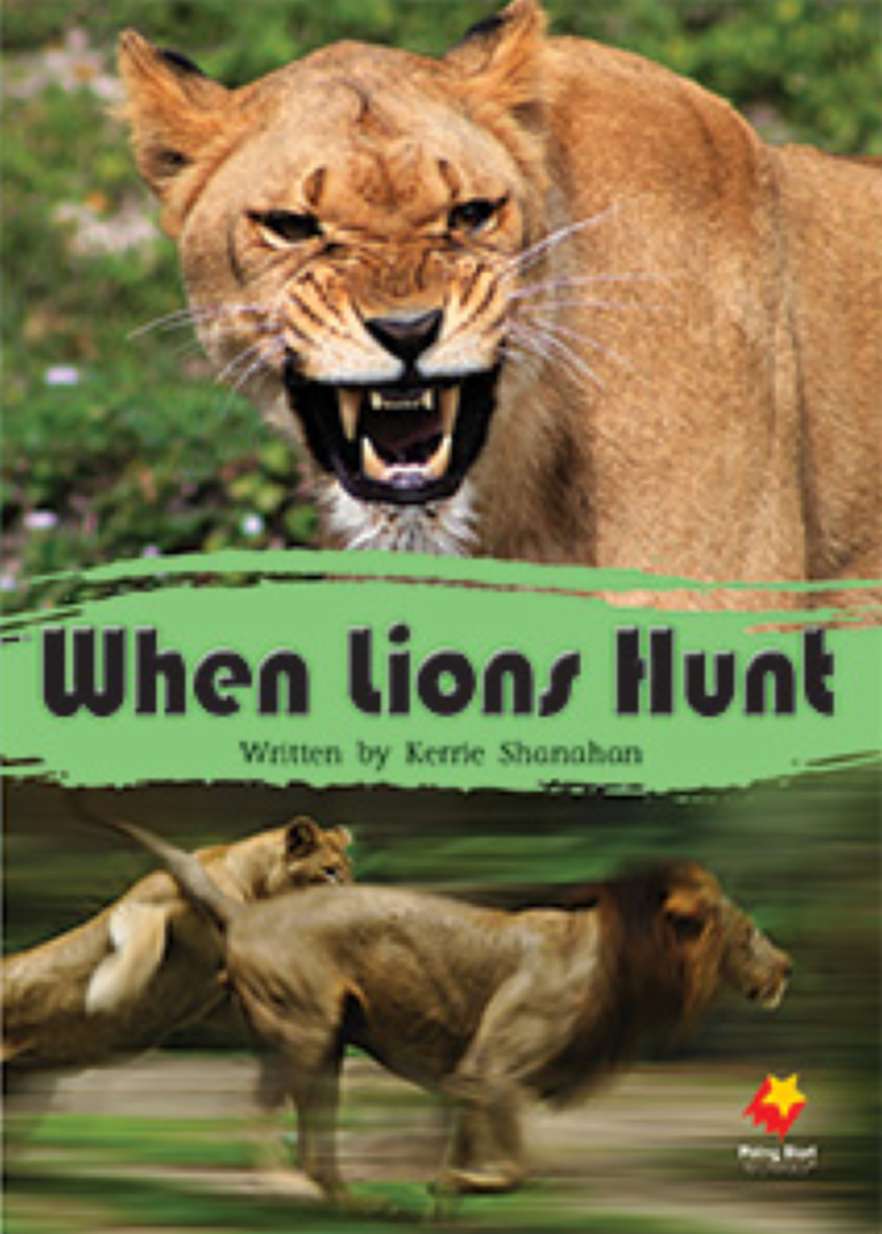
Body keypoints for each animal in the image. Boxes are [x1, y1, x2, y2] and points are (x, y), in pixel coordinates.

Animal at [101, 816, 792, 1199]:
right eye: (750, 933)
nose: (786, 966)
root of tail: (248, 911)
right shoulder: (493, 1067)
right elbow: (515, 1167)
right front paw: (462, 1183)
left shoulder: (473, 1078)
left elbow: (473, 1143)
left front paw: (443, 1189)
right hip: (303, 1031)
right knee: (259, 1115)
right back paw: (283, 1187)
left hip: (326, 1047)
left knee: (315, 1142)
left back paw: (352, 1203)